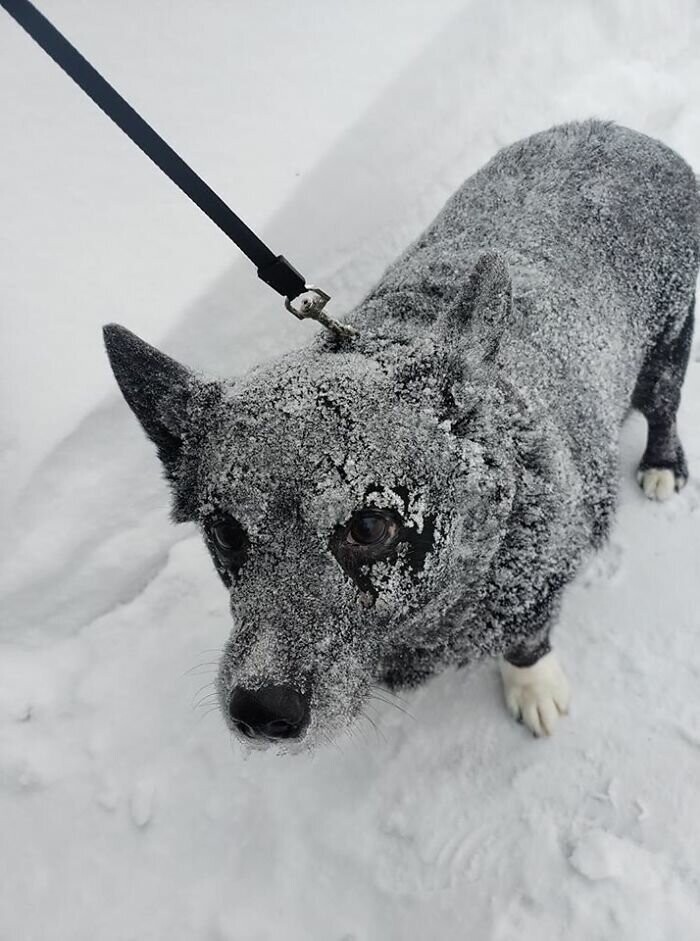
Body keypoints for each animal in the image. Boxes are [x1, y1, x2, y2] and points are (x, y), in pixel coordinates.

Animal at [105, 119, 700, 748]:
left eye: (369, 527)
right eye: (224, 531)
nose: (261, 713)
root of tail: (624, 132)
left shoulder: (539, 583)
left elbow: (526, 640)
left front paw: (534, 688)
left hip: (669, 344)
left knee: (663, 406)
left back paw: (662, 466)